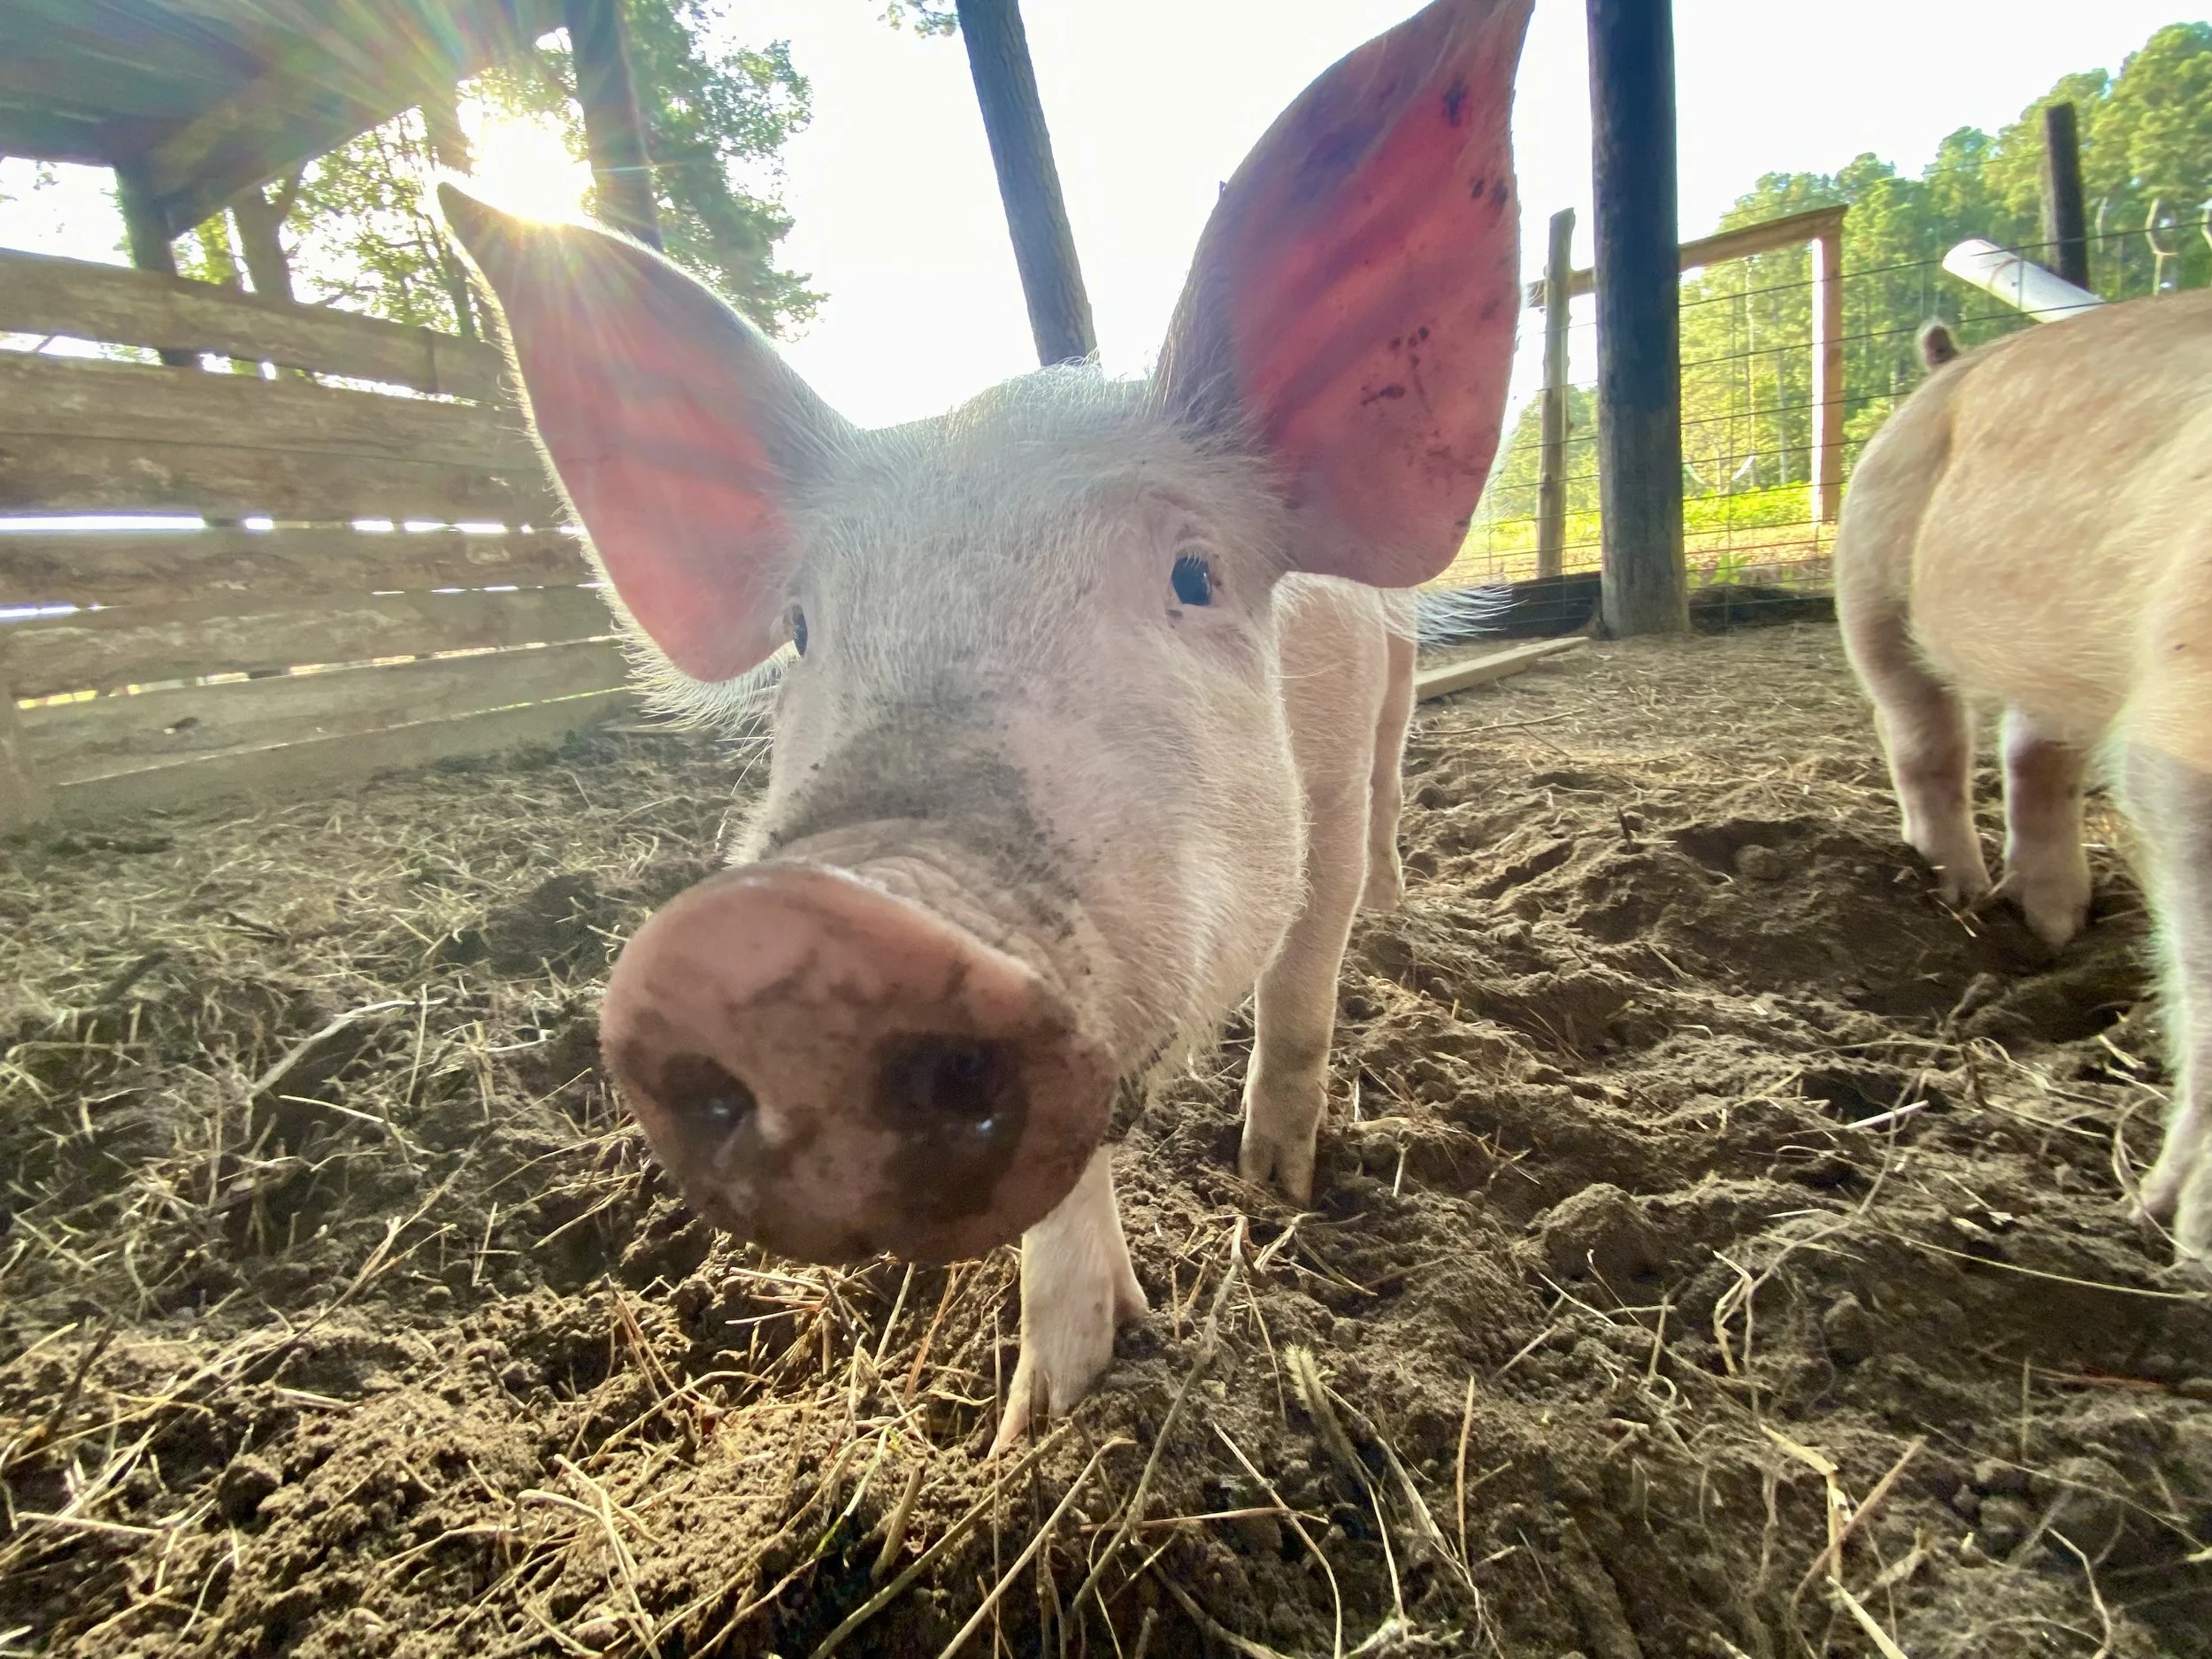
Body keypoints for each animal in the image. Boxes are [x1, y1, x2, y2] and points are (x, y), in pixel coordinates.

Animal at [441, 0, 1532, 1442]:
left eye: (1195, 575)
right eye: (804, 627)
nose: (798, 921)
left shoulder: (1330, 786)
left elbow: (1302, 992)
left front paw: (1276, 1192)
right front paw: (1043, 1420)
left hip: (1399, 676)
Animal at [1836, 291, 2212, 1272]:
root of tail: (1950, 365)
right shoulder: (2182, 727)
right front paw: (2179, 1233)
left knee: (2029, 750)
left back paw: (2050, 926)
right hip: (1872, 569)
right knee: (1925, 732)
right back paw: (1961, 893)